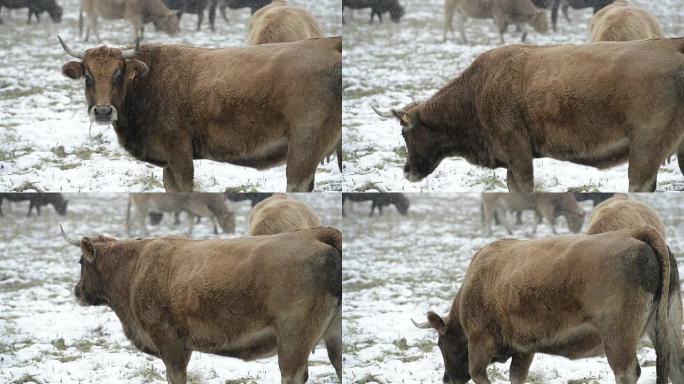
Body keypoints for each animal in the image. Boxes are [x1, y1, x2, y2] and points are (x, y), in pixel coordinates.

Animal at [57, 36, 340, 194]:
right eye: (88, 77)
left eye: (118, 75)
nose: (103, 111)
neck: (150, 79)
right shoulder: (168, 164)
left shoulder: (180, 154)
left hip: (303, 148)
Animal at [61, 225, 342, 384]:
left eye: (80, 262)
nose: (77, 291)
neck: (134, 269)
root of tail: (317, 234)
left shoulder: (170, 343)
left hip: (293, 341)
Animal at [414, 226, 680, 384]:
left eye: (440, 344)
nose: (447, 379)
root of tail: (636, 233)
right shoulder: (524, 349)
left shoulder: (480, 342)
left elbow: (479, 373)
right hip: (668, 326)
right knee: (677, 366)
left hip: (618, 339)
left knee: (627, 372)